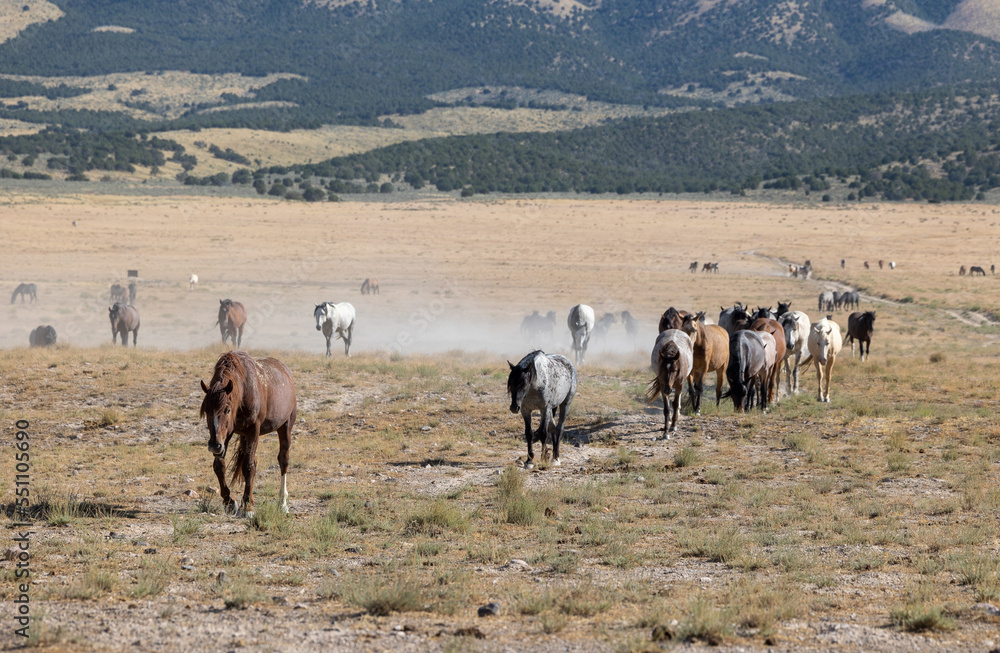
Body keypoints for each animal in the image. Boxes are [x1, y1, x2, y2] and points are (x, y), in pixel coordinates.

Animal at [199, 348, 296, 516]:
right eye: (206, 411)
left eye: (227, 409)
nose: (214, 446)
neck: (244, 390)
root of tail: (286, 371)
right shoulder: (227, 434)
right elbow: (219, 465)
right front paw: (230, 502)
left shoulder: (253, 430)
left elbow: (248, 466)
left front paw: (247, 507)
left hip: (285, 426)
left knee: (283, 460)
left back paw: (282, 503)